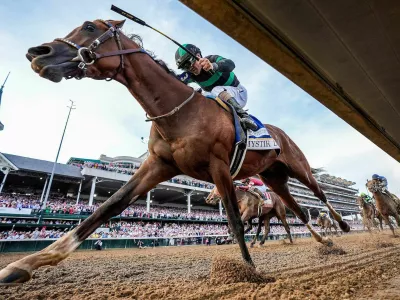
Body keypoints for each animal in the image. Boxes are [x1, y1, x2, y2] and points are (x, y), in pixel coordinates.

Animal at [0, 17, 348, 284]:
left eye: (88, 26)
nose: (38, 52)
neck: (179, 112)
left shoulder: (219, 167)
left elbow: (235, 221)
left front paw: (250, 272)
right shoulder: (158, 165)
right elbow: (107, 207)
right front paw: (23, 264)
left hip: (297, 167)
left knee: (318, 195)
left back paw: (342, 225)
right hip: (274, 178)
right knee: (297, 211)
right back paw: (324, 241)